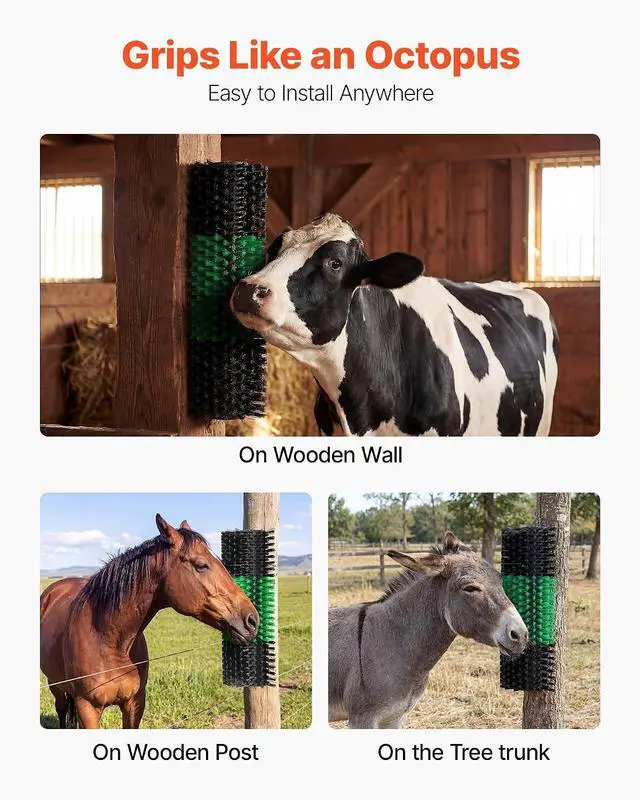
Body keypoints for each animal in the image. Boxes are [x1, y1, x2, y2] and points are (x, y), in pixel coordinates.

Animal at [40, 514, 259, 729]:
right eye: (201, 565)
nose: (252, 620)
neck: (108, 639)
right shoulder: (87, 709)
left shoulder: (135, 703)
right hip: (55, 686)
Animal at [328, 531, 528, 729]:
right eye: (470, 588)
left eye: (500, 581)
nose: (521, 635)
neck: (392, 640)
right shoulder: (362, 719)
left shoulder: (394, 717)